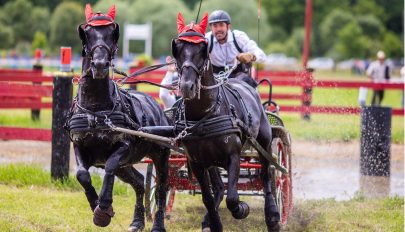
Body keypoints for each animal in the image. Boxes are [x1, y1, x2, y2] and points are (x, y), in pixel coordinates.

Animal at [65, 4, 169, 231]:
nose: (100, 65)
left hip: (161, 155)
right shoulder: (79, 145)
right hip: (127, 165)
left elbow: (110, 166)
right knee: (138, 182)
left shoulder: (124, 146)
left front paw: (104, 208)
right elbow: (82, 174)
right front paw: (98, 207)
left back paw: (157, 224)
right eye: (87, 33)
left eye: (112, 34)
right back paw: (137, 221)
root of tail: (157, 108)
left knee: (162, 188)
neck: (95, 110)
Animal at [171, 13, 280, 231]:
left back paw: (272, 216)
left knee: (266, 175)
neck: (205, 113)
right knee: (219, 187)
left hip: (264, 141)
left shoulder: (233, 155)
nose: (187, 86)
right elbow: (207, 197)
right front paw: (214, 223)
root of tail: (244, 81)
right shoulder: (196, 162)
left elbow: (233, 197)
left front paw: (242, 209)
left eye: (202, 50)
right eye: (177, 49)